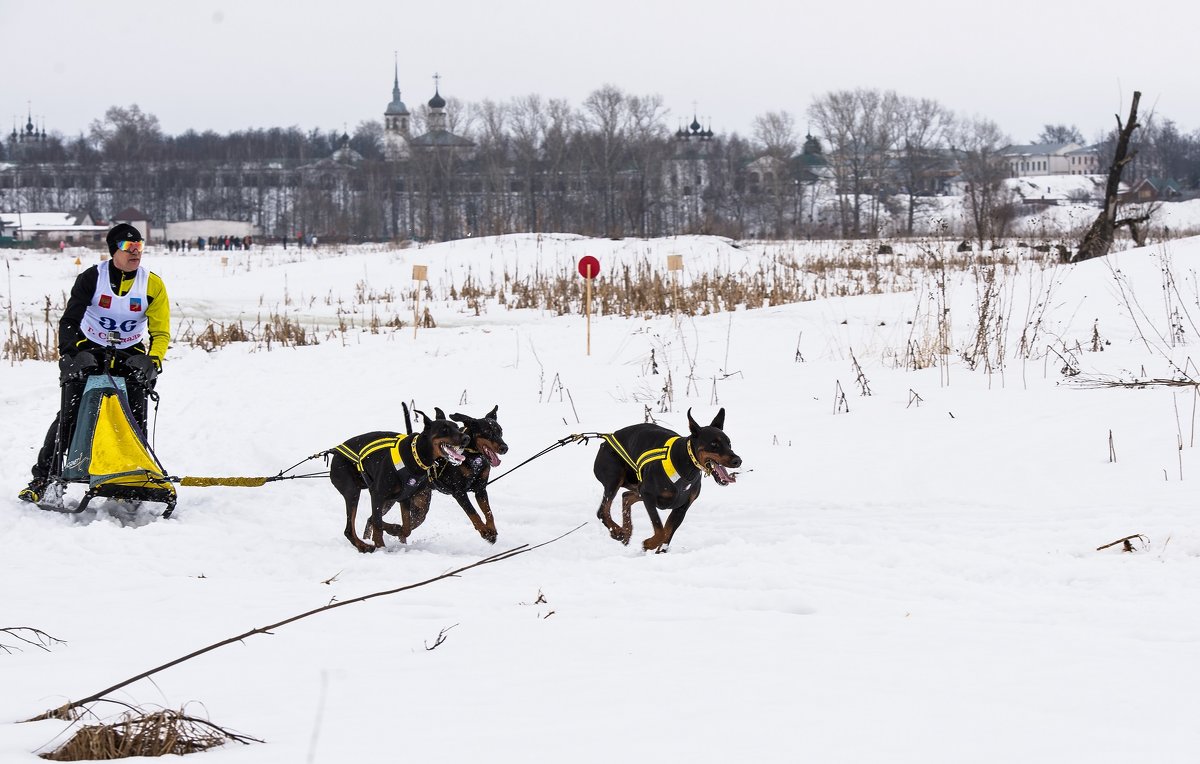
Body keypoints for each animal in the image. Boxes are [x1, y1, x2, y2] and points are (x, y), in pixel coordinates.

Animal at [328, 407, 468, 551]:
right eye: (444, 429)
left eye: (457, 427)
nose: (466, 438)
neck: (415, 456)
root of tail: (335, 452)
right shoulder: (377, 494)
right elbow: (378, 524)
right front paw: (381, 546)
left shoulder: (405, 498)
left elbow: (406, 528)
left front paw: (395, 530)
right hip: (353, 490)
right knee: (350, 529)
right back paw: (364, 546)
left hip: (388, 500)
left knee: (370, 520)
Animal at [432, 405, 506, 542]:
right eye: (487, 431)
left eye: (500, 431)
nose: (505, 448)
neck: (473, 457)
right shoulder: (459, 492)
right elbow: (473, 512)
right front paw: (484, 531)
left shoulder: (480, 489)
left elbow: (489, 512)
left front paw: (491, 530)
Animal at [590, 407, 739, 551]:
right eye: (714, 444)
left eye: (729, 443)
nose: (738, 460)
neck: (685, 463)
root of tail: (606, 441)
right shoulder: (648, 494)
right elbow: (660, 530)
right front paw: (649, 543)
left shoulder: (682, 507)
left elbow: (667, 532)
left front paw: (659, 550)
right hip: (616, 478)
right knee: (603, 511)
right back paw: (618, 532)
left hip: (637, 487)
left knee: (626, 496)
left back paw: (626, 532)